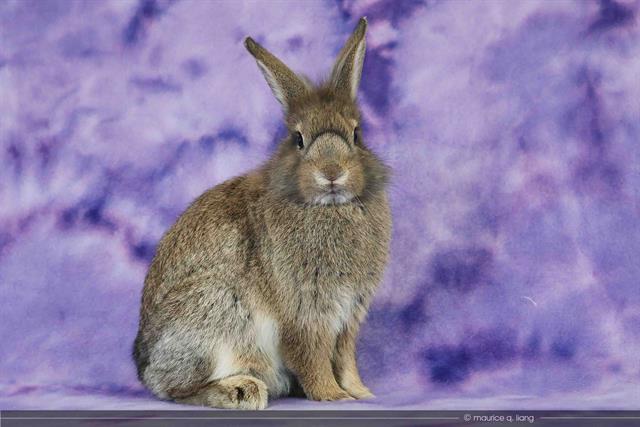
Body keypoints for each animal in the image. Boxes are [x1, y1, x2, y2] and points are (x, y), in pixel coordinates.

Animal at [133, 17, 392, 412]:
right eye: (298, 139)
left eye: (357, 133)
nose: (332, 172)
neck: (328, 207)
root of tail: (142, 363)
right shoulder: (305, 313)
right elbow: (313, 357)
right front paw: (333, 397)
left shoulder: (348, 317)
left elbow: (345, 358)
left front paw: (361, 393)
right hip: (215, 311)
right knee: (174, 388)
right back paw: (241, 391)